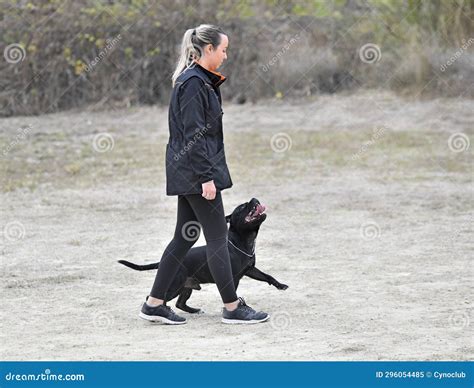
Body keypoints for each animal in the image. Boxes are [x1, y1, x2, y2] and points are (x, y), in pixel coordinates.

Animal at [119, 199, 288, 314]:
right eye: (242, 207)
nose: (254, 198)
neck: (242, 242)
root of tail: (163, 261)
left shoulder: (250, 270)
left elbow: (267, 276)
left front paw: (280, 285)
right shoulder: (233, 277)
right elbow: (233, 293)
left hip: (186, 287)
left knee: (180, 303)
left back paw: (194, 311)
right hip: (175, 285)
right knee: (153, 297)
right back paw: (162, 310)